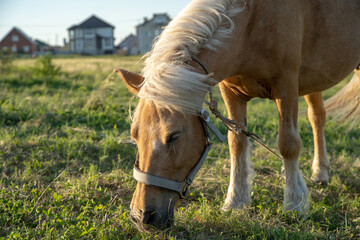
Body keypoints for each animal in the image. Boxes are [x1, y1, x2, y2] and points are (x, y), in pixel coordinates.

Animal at [115, 0, 360, 232]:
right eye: (135, 136)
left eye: (174, 136)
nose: (141, 217)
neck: (254, 22)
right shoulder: (231, 92)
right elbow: (237, 142)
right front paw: (236, 201)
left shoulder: (287, 87)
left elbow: (289, 144)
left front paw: (294, 204)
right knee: (317, 117)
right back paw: (320, 172)